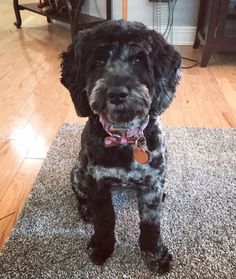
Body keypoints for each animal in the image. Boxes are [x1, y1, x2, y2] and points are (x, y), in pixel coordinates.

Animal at [60, 20, 181, 274]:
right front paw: (102, 247)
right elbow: (105, 220)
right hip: (78, 172)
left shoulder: (152, 183)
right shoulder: (98, 183)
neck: (124, 138)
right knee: (80, 196)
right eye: (97, 62)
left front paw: (154, 256)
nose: (117, 93)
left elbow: (151, 225)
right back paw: (86, 210)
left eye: (138, 60)